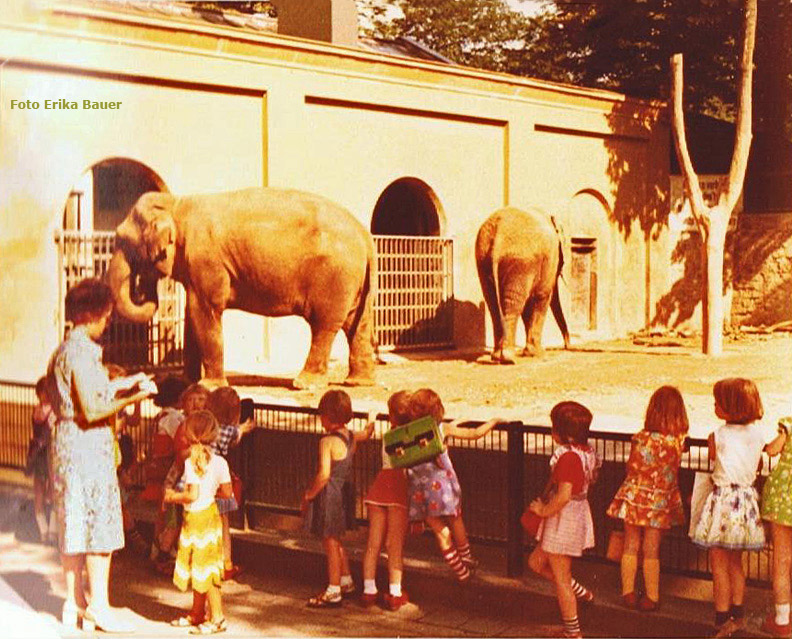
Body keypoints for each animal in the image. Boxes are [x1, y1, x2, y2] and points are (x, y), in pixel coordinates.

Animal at [106, 186, 376, 390]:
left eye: (124, 240)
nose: (144, 283)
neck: (177, 204)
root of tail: (365, 235)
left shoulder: (206, 261)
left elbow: (204, 311)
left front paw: (209, 386)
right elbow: (192, 316)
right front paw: (184, 382)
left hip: (335, 277)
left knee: (324, 326)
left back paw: (305, 384)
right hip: (354, 282)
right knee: (357, 324)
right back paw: (357, 382)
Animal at [476, 208, 568, 362]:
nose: (566, 346)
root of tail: (499, 232)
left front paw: (530, 353)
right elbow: (541, 296)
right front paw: (538, 354)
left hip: (483, 259)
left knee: (493, 303)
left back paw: (497, 357)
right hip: (521, 261)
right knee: (514, 303)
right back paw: (508, 358)